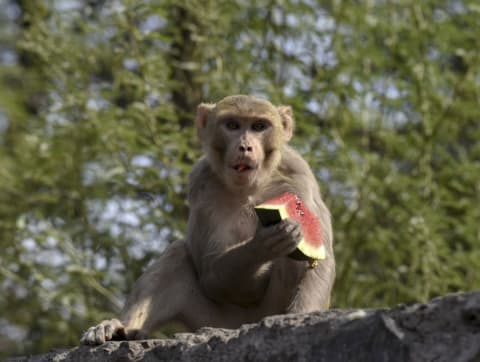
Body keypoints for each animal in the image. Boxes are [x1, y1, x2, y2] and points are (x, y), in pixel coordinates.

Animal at [79, 93, 334, 346]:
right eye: (232, 125)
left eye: (259, 127)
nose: (245, 146)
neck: (250, 188)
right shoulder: (201, 184)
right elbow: (211, 274)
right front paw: (262, 244)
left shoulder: (299, 176)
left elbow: (321, 260)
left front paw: (302, 317)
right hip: (216, 322)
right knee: (177, 254)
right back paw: (118, 328)